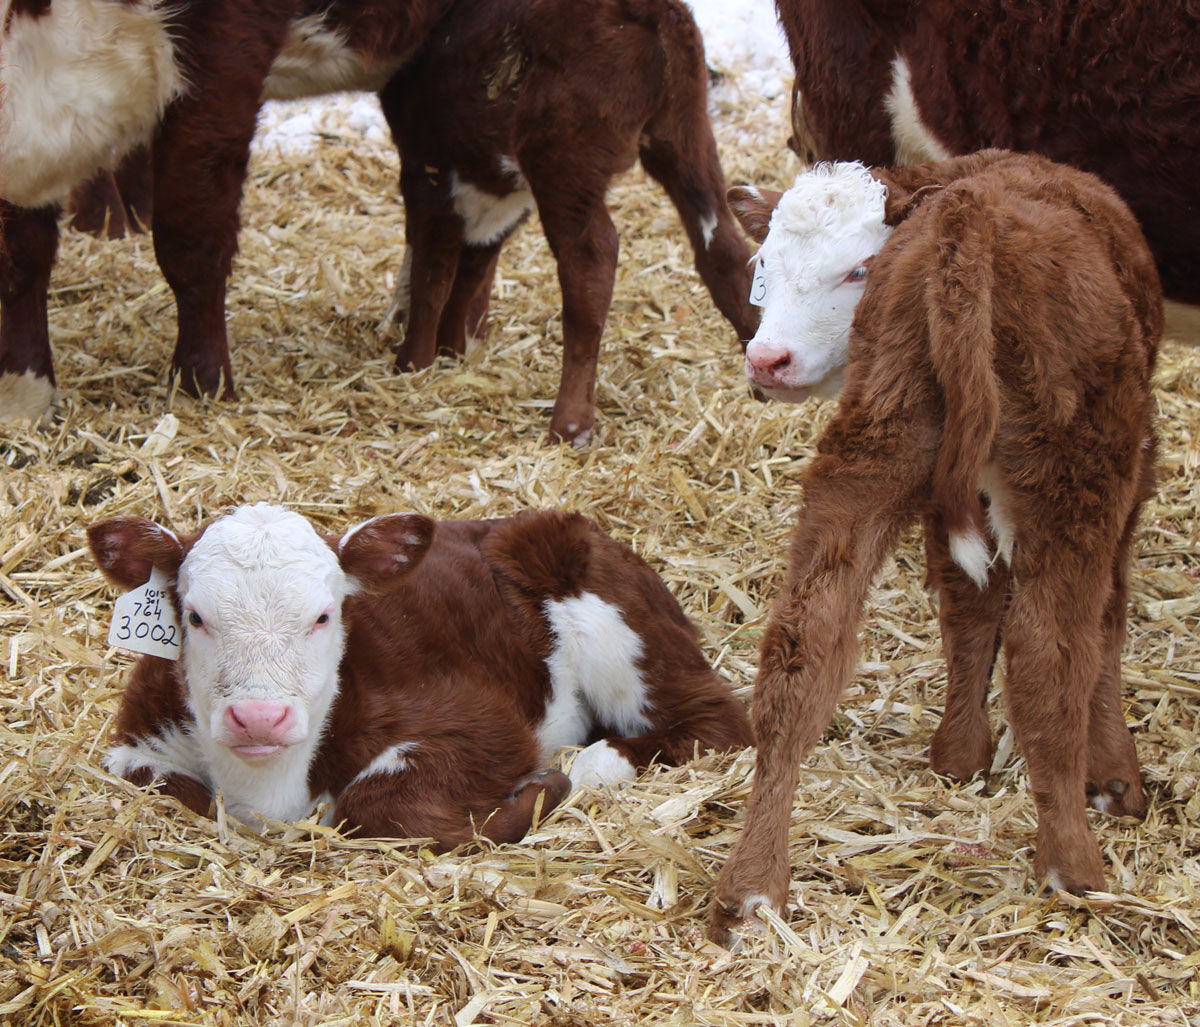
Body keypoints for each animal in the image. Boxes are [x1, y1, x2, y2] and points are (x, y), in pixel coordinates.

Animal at [88, 504, 753, 849]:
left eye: (324, 615)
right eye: (195, 616)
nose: (259, 717)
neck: (271, 785)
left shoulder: (484, 723)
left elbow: (371, 806)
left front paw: (537, 790)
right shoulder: (133, 742)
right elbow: (177, 790)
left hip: (624, 633)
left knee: (717, 719)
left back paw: (588, 763)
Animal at [378, 0, 758, 444]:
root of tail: (652, 9)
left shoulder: (427, 166)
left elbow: (433, 272)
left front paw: (413, 363)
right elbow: (474, 264)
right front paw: (452, 348)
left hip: (564, 155)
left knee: (591, 259)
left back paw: (571, 423)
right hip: (684, 127)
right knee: (722, 242)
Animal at [706, 150, 1161, 944]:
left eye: (856, 269)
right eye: (766, 264)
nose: (766, 359)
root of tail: (967, 214)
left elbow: (967, 605)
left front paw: (958, 756)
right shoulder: (1128, 477)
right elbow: (1104, 620)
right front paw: (1113, 777)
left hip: (873, 450)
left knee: (802, 649)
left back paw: (751, 888)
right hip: (1077, 472)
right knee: (1048, 658)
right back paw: (1073, 870)